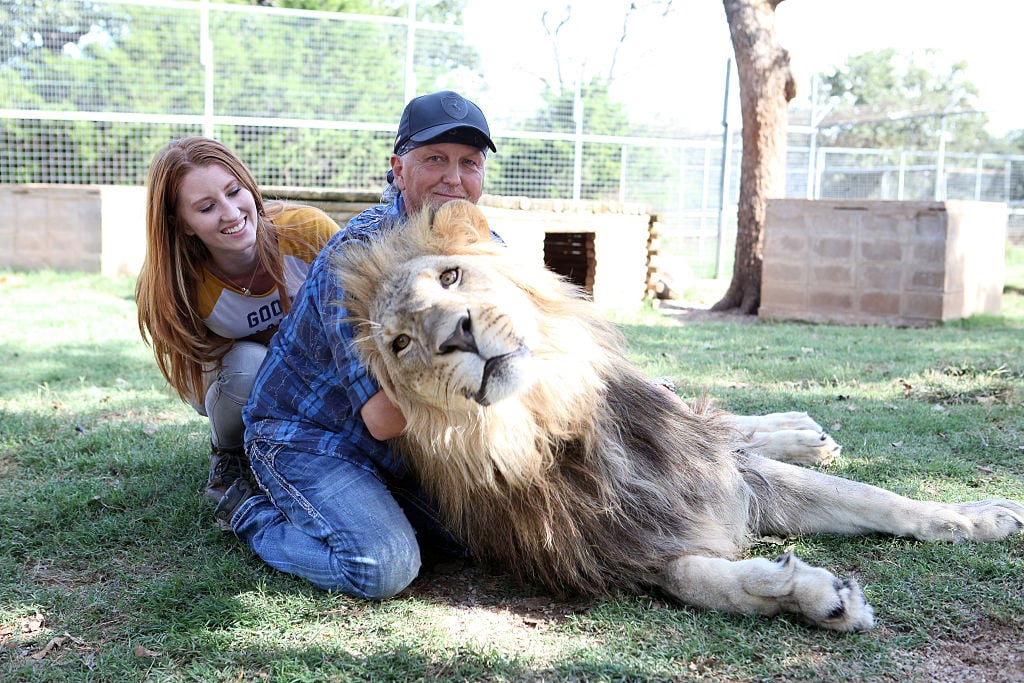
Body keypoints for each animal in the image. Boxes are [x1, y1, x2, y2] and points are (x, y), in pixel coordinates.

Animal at [331, 200, 1019, 634]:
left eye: (451, 275)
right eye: (401, 343)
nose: (457, 335)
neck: (546, 425)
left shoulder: (724, 471)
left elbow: (877, 500)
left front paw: (977, 517)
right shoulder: (622, 549)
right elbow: (700, 579)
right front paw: (812, 596)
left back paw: (805, 432)